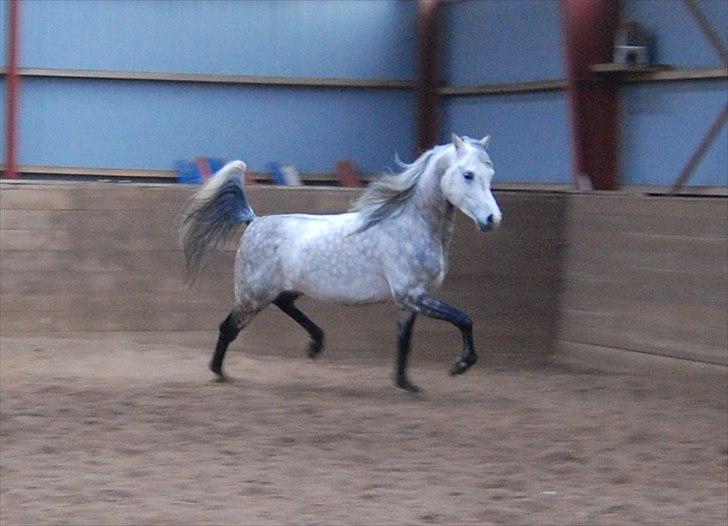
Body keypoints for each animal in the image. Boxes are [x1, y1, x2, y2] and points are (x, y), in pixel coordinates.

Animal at [179, 136, 504, 392]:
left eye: (490, 173)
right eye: (468, 174)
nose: (492, 219)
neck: (411, 225)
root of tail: (253, 221)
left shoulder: (409, 301)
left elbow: (404, 340)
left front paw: (405, 384)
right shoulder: (412, 295)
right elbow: (463, 319)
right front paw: (460, 365)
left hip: (284, 288)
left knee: (284, 304)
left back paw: (316, 343)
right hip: (253, 295)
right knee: (228, 327)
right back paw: (219, 372)